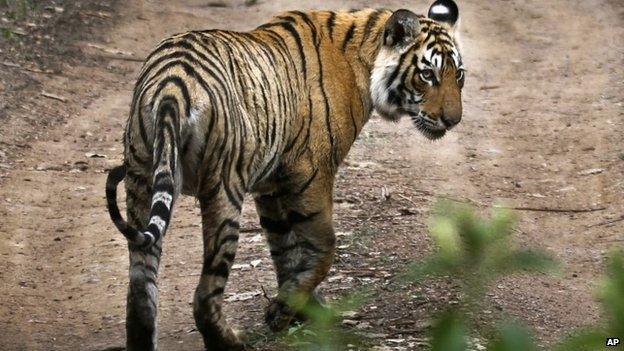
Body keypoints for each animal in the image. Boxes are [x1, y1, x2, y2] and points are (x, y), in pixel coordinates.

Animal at [103, 0, 464, 350]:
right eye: (427, 74)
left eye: (458, 74)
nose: (453, 120)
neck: (365, 53)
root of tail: (171, 85)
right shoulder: (311, 174)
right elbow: (322, 247)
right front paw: (286, 313)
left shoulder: (271, 184)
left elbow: (284, 248)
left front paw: (296, 308)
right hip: (223, 189)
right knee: (205, 293)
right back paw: (229, 342)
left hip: (141, 179)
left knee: (140, 287)